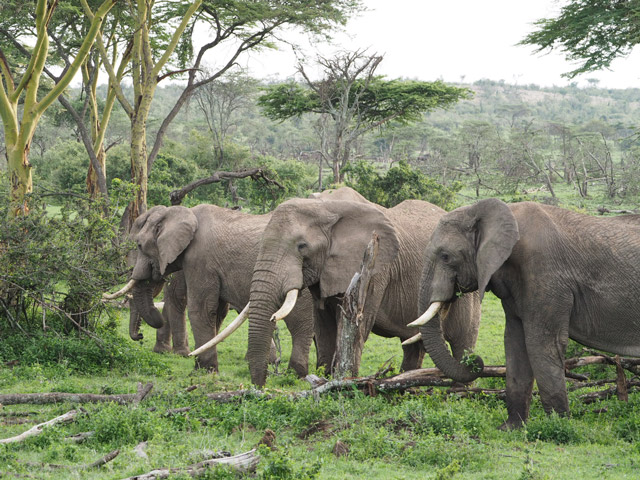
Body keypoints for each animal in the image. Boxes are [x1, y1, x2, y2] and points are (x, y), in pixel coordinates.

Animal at [126, 204, 315, 374]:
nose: (140, 336)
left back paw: (294, 373)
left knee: (299, 323)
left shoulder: (199, 260)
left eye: (139, 245)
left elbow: (200, 309)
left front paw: (203, 371)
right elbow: (216, 311)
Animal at [245, 195, 481, 386]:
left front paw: (347, 382)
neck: (327, 207)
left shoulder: (374, 267)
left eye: (302, 246)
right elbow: (323, 328)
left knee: (462, 342)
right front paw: (325, 379)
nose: (261, 387)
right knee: (413, 344)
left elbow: (357, 327)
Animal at [415, 198, 640, 429]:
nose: (474, 360)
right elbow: (514, 341)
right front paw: (511, 428)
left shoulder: (545, 274)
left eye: (445, 257)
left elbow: (540, 343)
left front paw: (558, 426)